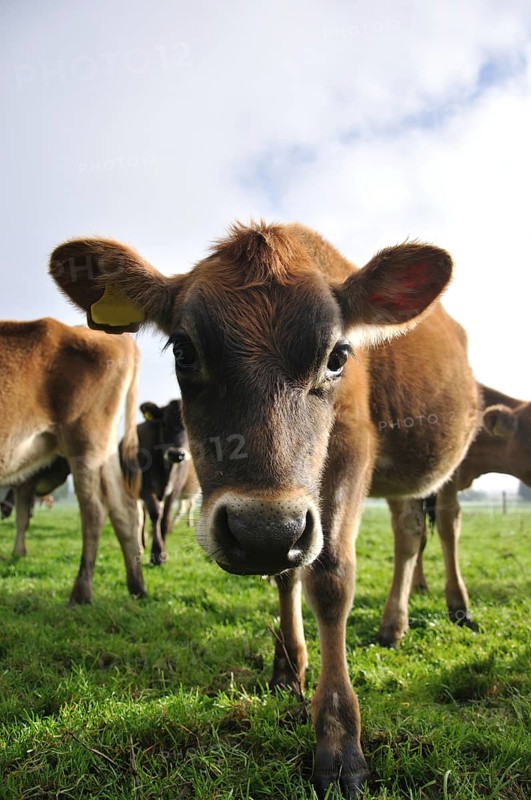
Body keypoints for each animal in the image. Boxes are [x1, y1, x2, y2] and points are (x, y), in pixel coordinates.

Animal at [0, 318, 146, 604]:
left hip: (85, 441)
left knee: (94, 510)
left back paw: (81, 591)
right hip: (104, 448)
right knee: (124, 507)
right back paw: (137, 586)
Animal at [134, 399, 199, 564]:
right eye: (163, 423)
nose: (176, 454)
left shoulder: (175, 490)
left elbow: (165, 517)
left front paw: (162, 552)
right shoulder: (145, 488)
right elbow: (155, 515)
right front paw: (157, 554)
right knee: (141, 517)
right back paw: (141, 545)